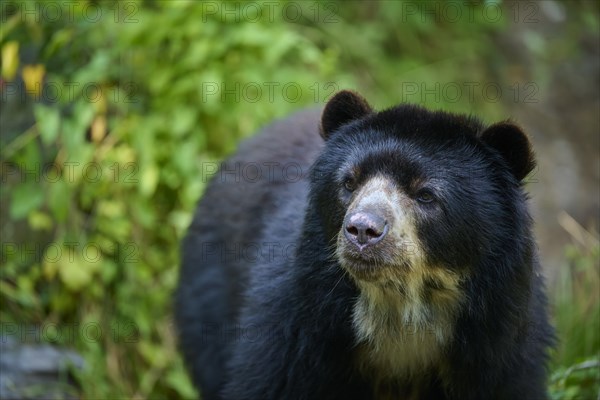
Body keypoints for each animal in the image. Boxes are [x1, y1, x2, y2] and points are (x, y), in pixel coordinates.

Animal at [173, 90, 552, 400]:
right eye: (349, 182)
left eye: (426, 195)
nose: (362, 230)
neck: (398, 308)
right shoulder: (295, 328)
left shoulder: (499, 346)